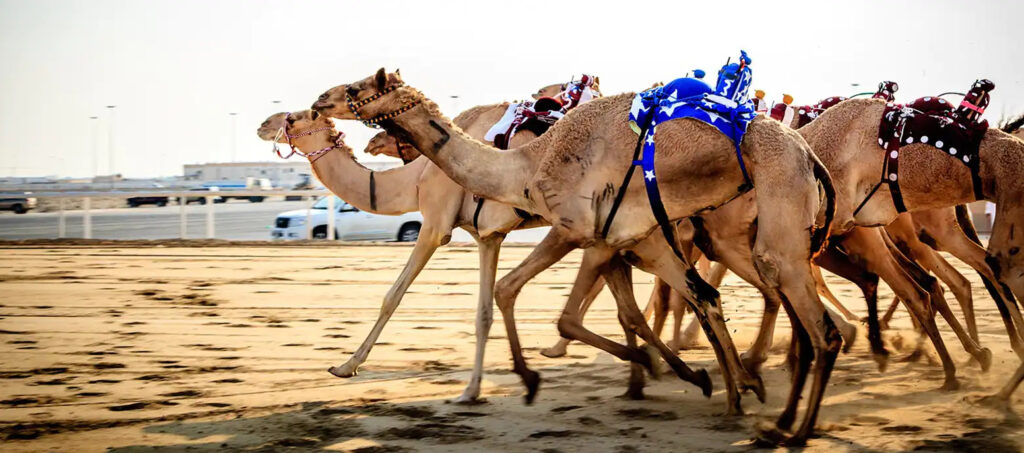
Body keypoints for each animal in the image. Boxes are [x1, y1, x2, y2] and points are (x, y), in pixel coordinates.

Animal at [256, 82, 606, 403]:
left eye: (294, 119)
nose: (263, 124)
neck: (417, 178)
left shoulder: (435, 225)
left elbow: (392, 296)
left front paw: (347, 366)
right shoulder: (488, 235)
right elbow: (483, 313)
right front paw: (473, 388)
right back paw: (561, 347)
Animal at [313, 68, 839, 446]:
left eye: (358, 87)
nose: (319, 101)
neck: (528, 164)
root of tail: (809, 154)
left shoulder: (582, 231)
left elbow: (536, 303)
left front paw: (533, 378)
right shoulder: (628, 238)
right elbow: (651, 306)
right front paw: (686, 376)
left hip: (772, 217)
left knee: (812, 322)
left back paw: (790, 428)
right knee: (741, 299)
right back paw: (754, 400)